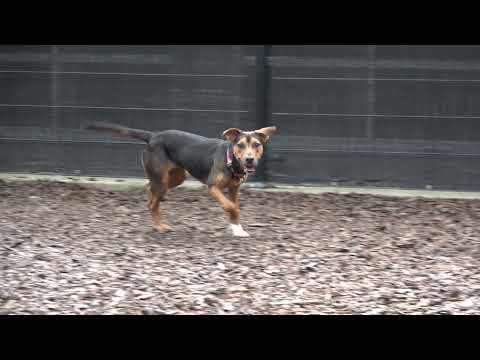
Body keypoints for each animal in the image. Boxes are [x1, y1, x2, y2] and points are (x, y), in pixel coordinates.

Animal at [86, 122, 278, 238]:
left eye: (256, 145)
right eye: (240, 145)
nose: (249, 159)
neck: (231, 161)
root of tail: (153, 135)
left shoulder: (234, 189)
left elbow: (234, 208)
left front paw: (237, 229)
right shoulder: (212, 187)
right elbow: (231, 206)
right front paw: (234, 220)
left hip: (175, 177)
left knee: (149, 189)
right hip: (163, 181)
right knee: (153, 203)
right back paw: (159, 227)